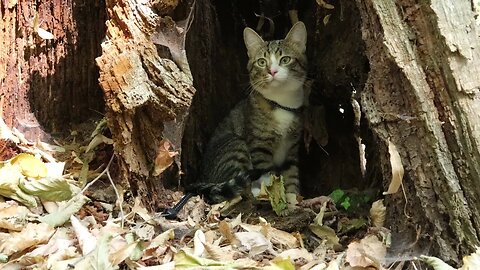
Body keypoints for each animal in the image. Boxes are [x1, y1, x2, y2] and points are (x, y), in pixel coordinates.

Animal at [188, 22, 308, 210]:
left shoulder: (292, 148)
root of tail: (202, 177)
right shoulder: (259, 144)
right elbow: (267, 175)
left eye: (285, 59)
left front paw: (293, 196)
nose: (272, 71)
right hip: (234, 145)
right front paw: (272, 196)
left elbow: (291, 174)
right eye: (261, 62)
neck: (281, 103)